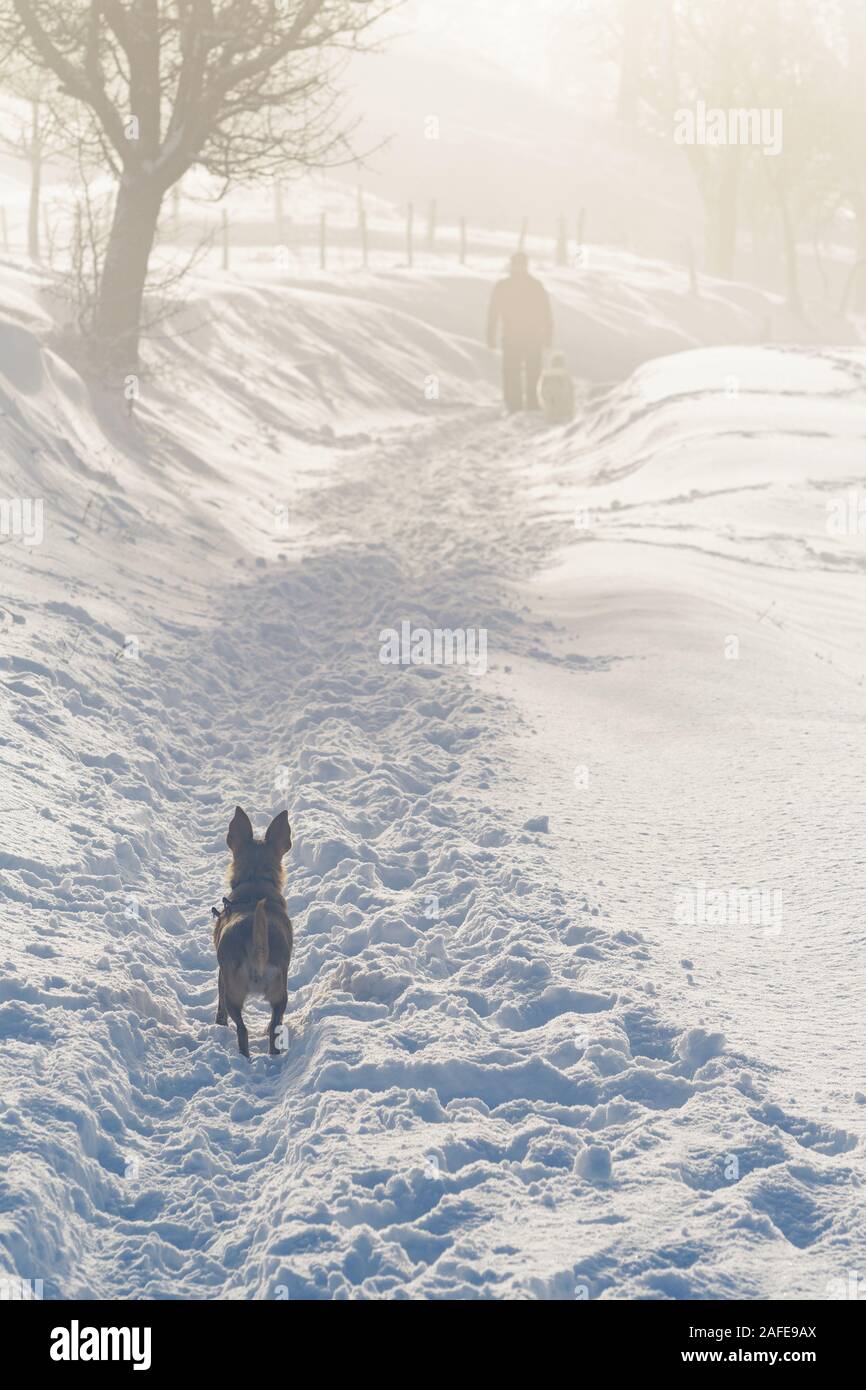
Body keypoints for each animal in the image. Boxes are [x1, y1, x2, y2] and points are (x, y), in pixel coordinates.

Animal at [214, 806, 293, 1050]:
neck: (256, 884)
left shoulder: (222, 975)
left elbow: (219, 1005)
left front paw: (219, 1024)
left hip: (234, 993)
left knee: (242, 1030)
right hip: (280, 993)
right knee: (275, 1027)